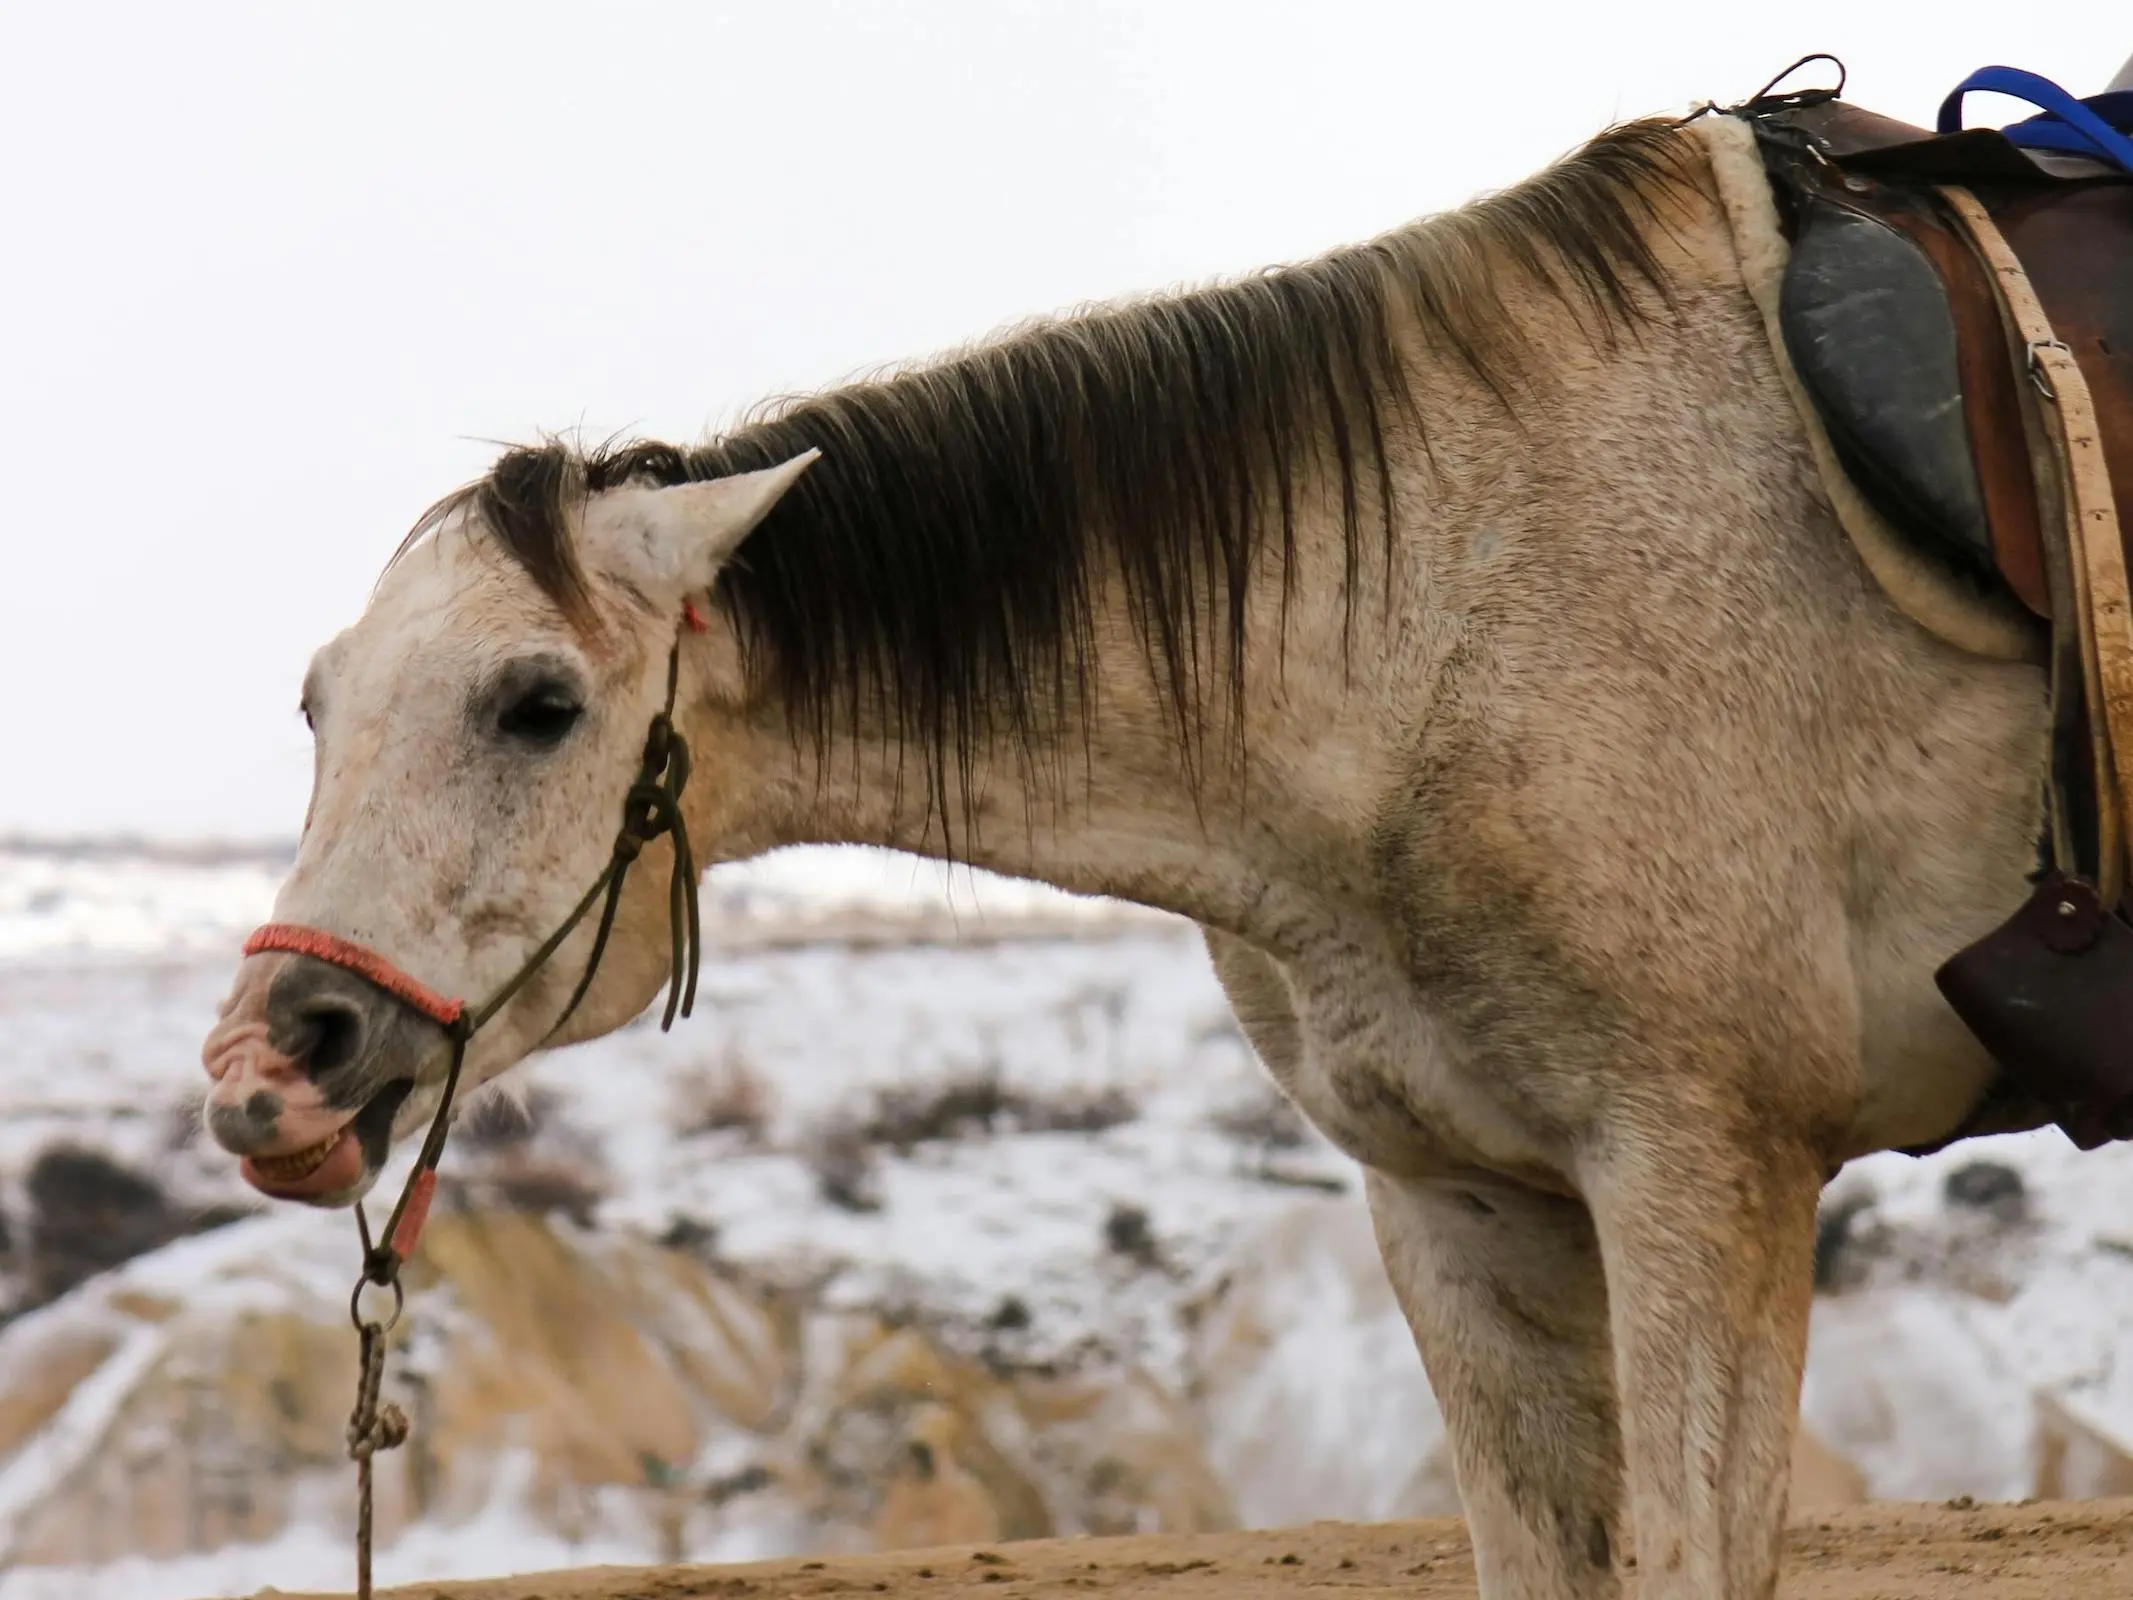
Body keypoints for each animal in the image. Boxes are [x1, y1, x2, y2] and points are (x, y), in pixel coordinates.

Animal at [200, 106, 2047, 1595]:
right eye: (315, 705)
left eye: (536, 705)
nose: (268, 1065)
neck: (1440, 615)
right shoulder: (1461, 1205)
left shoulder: (1704, 1172)